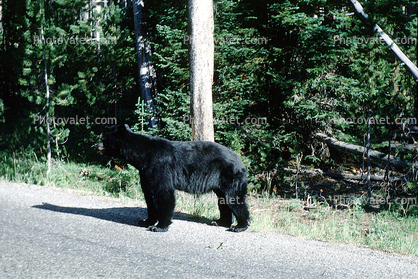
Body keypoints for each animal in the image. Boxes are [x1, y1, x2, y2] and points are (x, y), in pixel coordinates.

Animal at [94, 126, 248, 233]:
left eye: (105, 139)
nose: (94, 145)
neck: (142, 156)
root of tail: (240, 161)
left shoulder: (159, 167)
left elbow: (163, 194)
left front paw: (159, 226)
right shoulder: (145, 173)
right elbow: (149, 196)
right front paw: (146, 221)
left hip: (230, 176)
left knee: (234, 199)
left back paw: (239, 226)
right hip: (221, 183)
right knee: (223, 200)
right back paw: (220, 221)